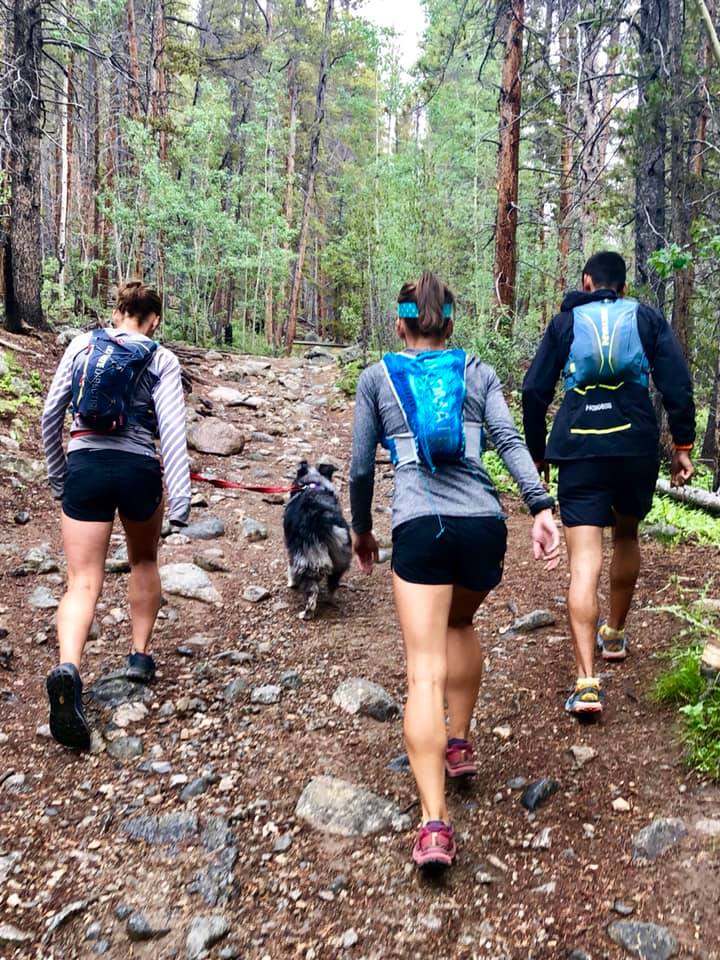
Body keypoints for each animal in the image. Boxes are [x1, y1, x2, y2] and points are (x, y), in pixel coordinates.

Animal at [283, 461, 352, 619]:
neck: (313, 484)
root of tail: (322, 521)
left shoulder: (293, 551)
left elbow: (291, 568)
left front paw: (291, 583)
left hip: (309, 562)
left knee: (312, 591)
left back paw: (306, 614)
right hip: (340, 558)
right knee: (333, 584)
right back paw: (330, 601)